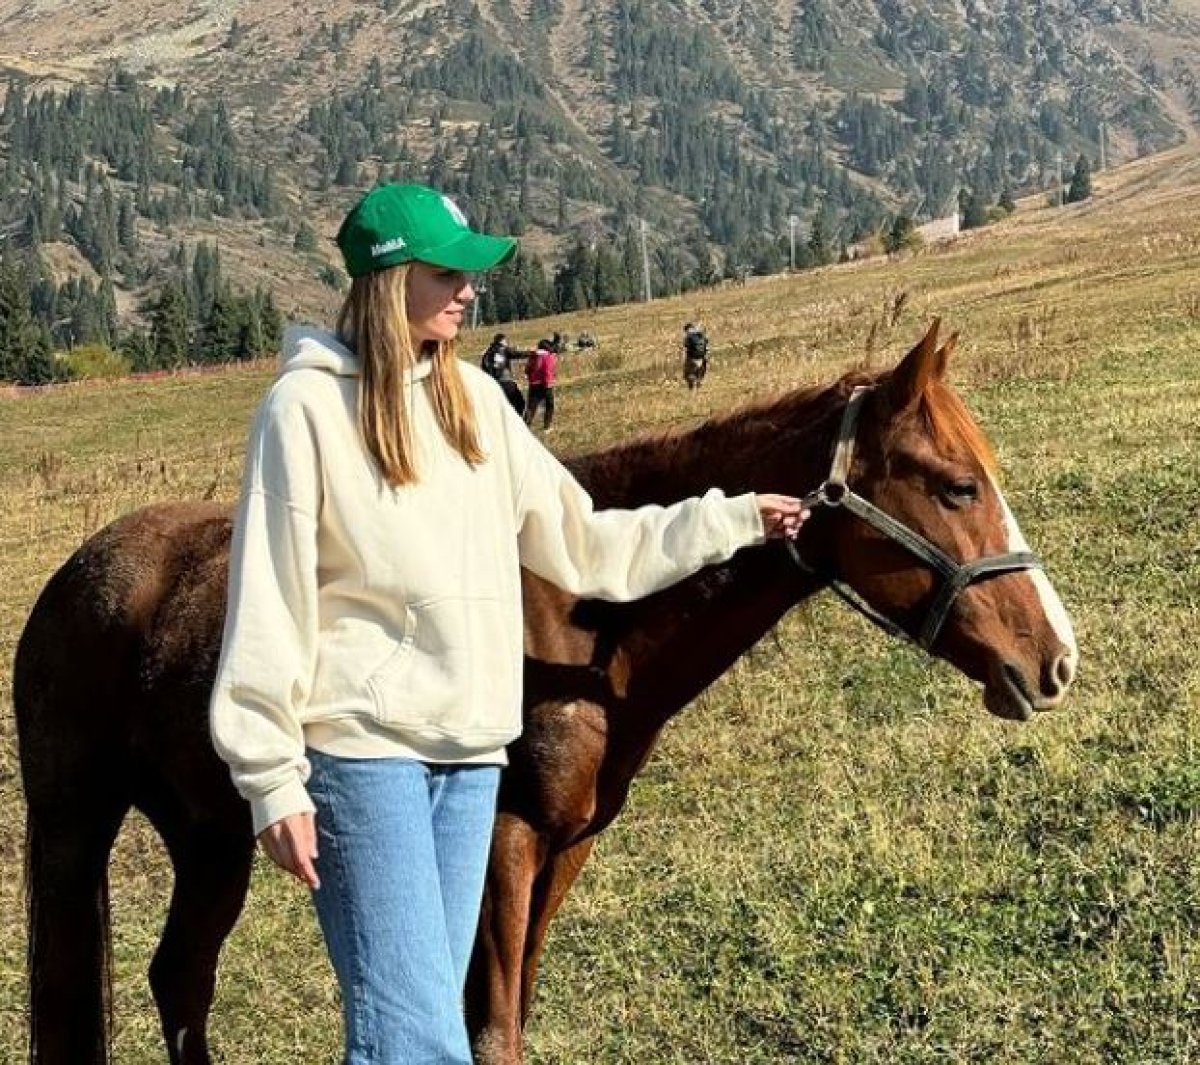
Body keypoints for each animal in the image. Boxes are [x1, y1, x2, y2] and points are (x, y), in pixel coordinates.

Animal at [14, 321, 1080, 1060]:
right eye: (955, 485)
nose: (1055, 658)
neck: (581, 623)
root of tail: (78, 573)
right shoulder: (506, 842)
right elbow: (490, 1031)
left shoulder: (564, 847)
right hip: (75, 832)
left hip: (212, 837)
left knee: (179, 981)